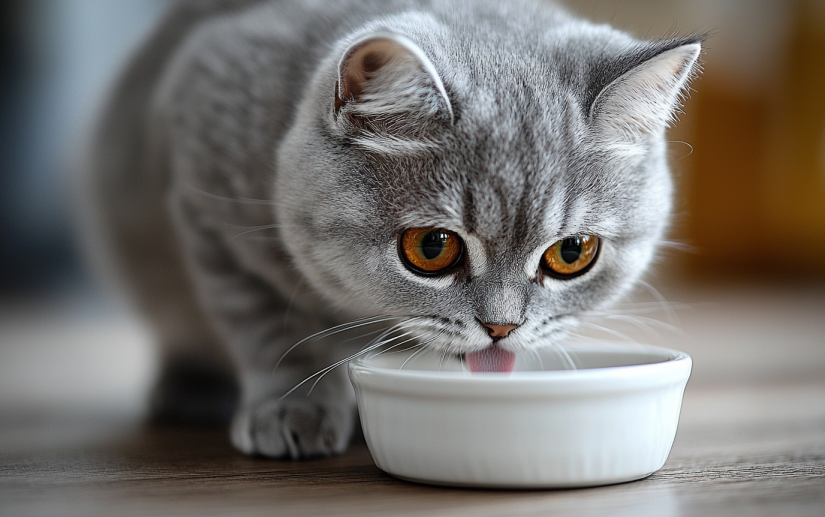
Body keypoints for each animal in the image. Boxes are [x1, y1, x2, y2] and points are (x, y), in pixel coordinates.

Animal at [82, 0, 700, 460]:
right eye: (432, 247)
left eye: (572, 252)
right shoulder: (203, 193)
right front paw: (294, 404)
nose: (501, 328)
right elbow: (266, 322)